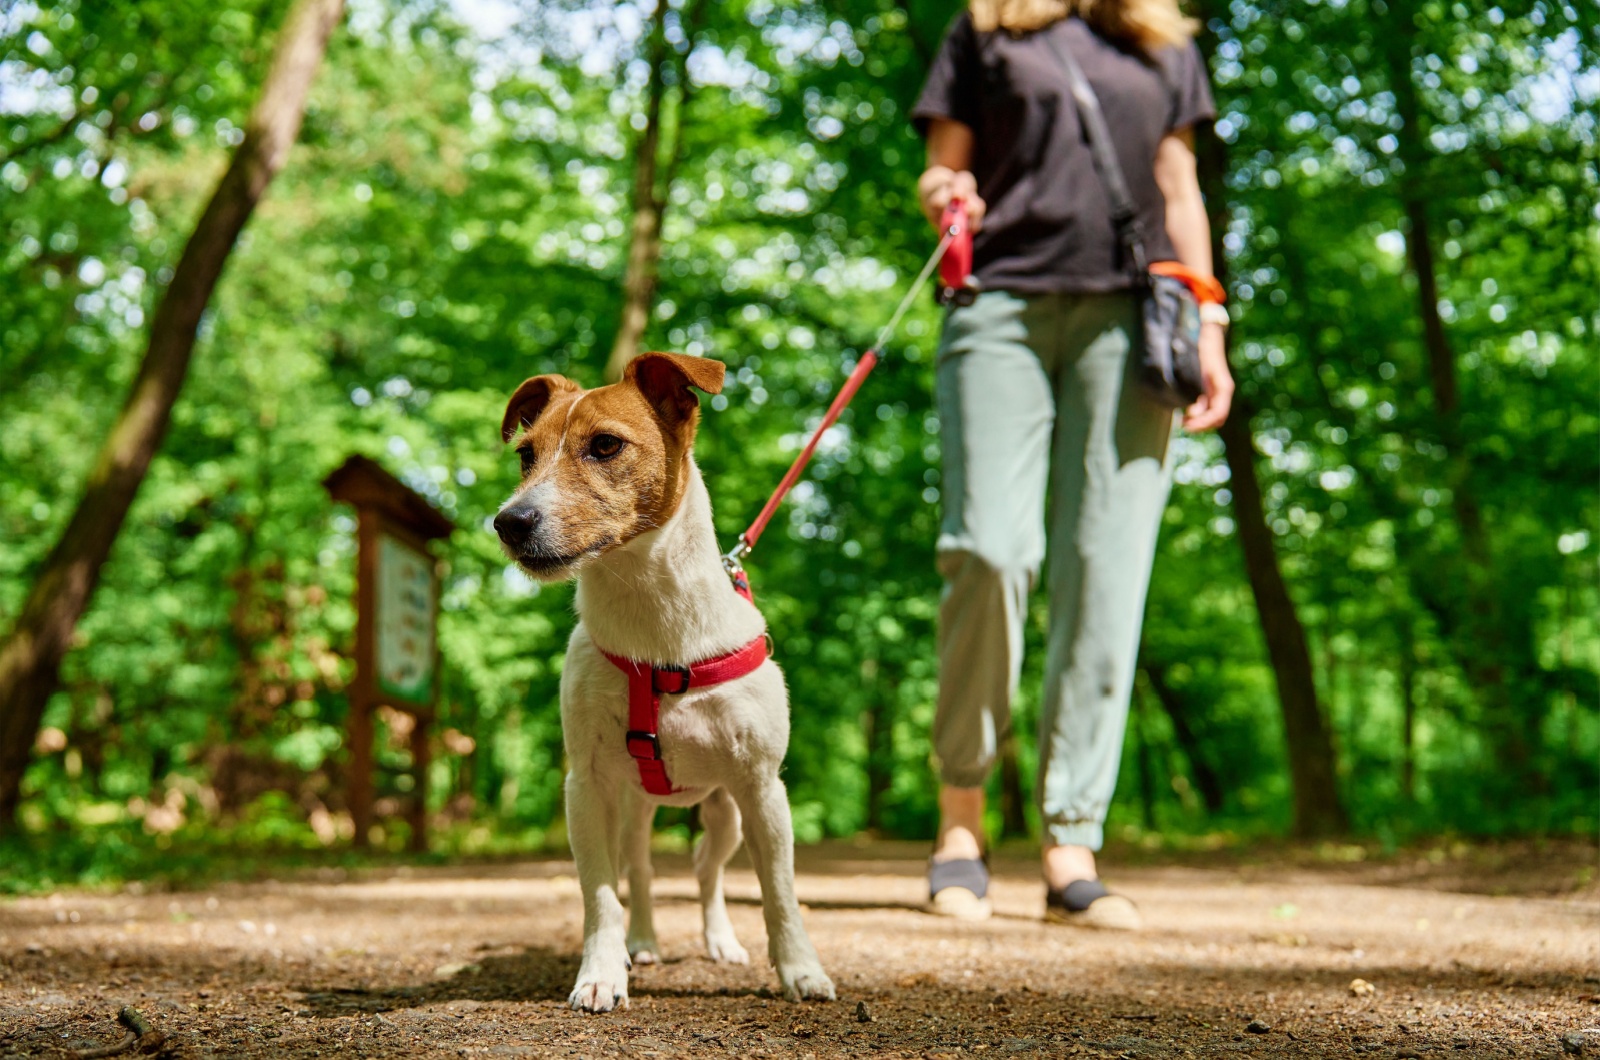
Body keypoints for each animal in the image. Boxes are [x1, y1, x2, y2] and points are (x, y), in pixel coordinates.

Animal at [492, 355, 832, 1011]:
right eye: (525, 454)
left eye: (605, 445)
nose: (509, 522)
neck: (655, 631)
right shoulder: (586, 787)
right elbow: (600, 894)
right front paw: (602, 973)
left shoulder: (763, 790)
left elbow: (780, 893)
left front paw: (801, 970)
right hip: (633, 809)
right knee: (643, 871)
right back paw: (643, 942)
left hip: (728, 813)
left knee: (707, 868)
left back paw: (720, 940)